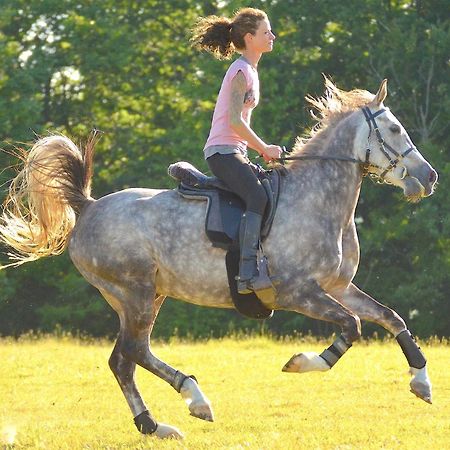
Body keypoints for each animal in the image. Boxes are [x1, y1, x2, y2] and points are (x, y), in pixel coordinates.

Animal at [0, 79, 436, 438]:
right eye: (394, 129)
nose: (429, 177)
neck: (317, 199)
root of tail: (88, 207)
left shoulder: (339, 287)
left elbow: (390, 318)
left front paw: (421, 380)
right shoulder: (298, 293)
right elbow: (352, 326)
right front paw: (303, 362)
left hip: (146, 297)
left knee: (122, 360)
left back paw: (154, 425)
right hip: (134, 292)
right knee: (134, 353)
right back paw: (195, 400)